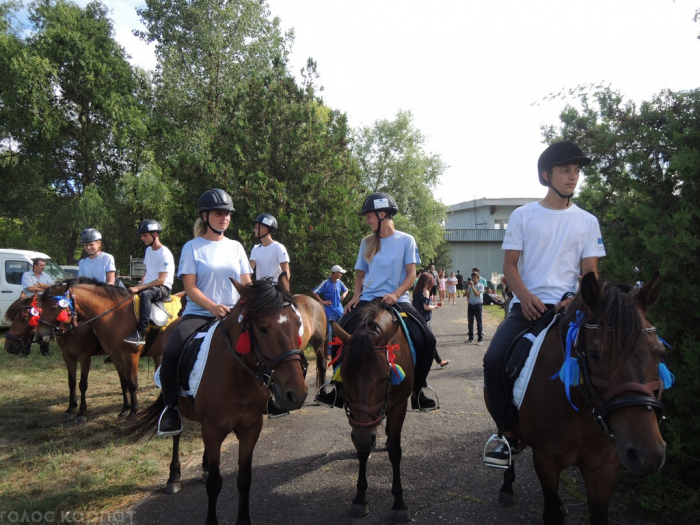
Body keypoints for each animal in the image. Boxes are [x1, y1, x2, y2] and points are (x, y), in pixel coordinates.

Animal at [35, 278, 167, 418]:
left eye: (54, 307)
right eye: (40, 306)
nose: (39, 336)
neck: (114, 315)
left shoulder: (87, 356)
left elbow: (84, 384)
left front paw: (82, 412)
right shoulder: (69, 356)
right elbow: (72, 382)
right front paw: (71, 408)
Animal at [130, 274, 308, 524]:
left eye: (298, 325)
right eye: (262, 328)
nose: (296, 394)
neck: (238, 379)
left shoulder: (250, 428)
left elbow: (244, 479)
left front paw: (243, 520)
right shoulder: (213, 429)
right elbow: (215, 484)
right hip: (177, 406)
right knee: (176, 434)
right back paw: (174, 477)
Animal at [330, 298, 412, 524]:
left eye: (385, 377)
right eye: (344, 376)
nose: (366, 438)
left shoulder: (399, 405)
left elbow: (395, 452)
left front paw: (399, 503)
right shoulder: (360, 424)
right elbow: (362, 450)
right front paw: (360, 499)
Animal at [492, 272, 668, 520]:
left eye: (660, 352)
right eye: (595, 354)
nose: (647, 454)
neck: (580, 410)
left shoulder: (604, 467)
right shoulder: (546, 461)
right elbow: (552, 513)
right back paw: (506, 486)